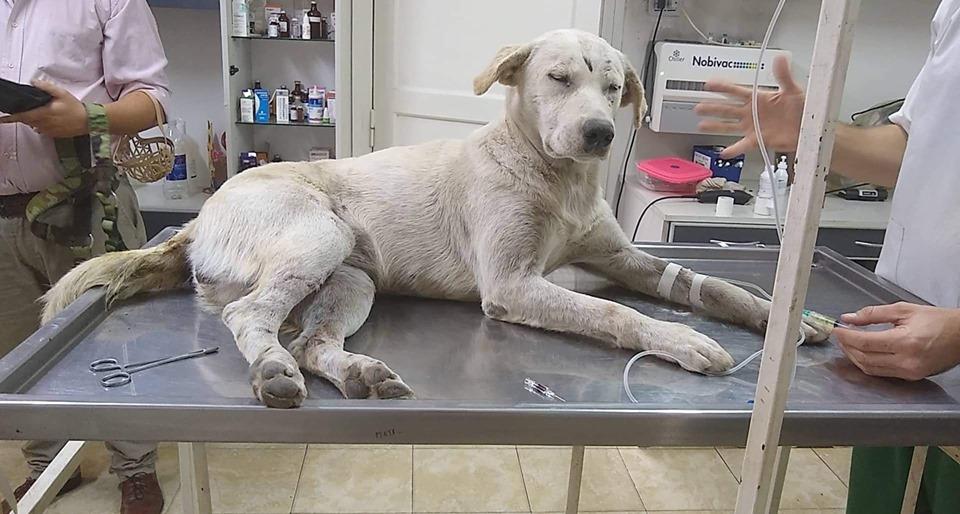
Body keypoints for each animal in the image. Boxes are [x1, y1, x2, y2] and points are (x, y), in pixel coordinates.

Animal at [43, 29, 830, 408]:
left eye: (613, 87)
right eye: (558, 79)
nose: (602, 134)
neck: (555, 178)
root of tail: (198, 221)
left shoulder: (619, 257)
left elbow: (707, 285)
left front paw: (787, 317)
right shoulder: (511, 285)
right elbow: (615, 313)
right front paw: (681, 340)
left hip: (350, 279)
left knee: (310, 341)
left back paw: (357, 374)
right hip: (316, 234)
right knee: (253, 321)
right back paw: (271, 371)